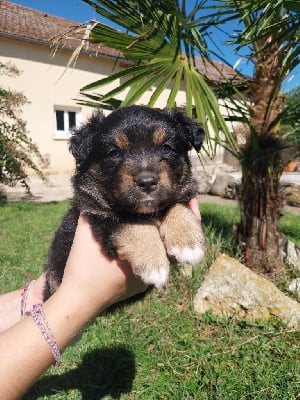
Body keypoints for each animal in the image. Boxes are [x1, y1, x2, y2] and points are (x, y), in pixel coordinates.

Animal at [44, 104, 206, 298]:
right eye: (115, 153)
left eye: (166, 148)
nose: (147, 182)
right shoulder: (99, 214)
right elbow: (134, 223)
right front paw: (153, 265)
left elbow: (177, 206)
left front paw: (188, 244)